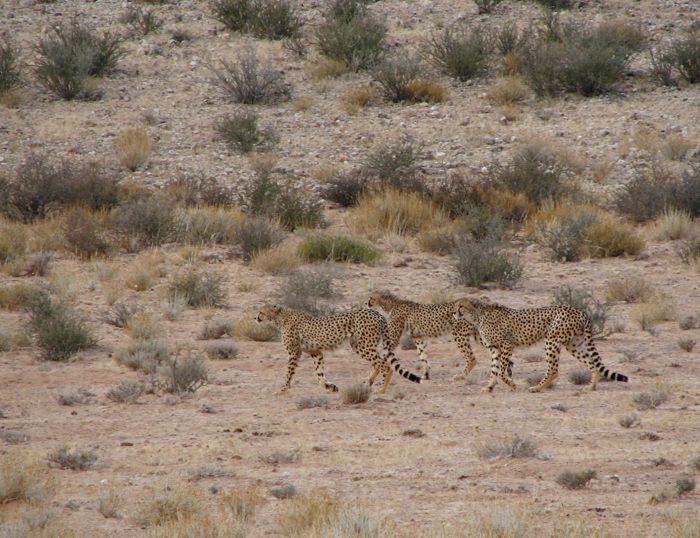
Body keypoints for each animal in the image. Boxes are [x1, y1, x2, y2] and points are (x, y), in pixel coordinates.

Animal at [256, 304, 422, 392]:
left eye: (261, 311)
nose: (256, 318)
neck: (280, 317)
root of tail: (376, 313)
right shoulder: (316, 352)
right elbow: (320, 373)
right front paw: (330, 387)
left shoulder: (294, 353)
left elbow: (289, 373)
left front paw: (282, 390)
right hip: (360, 345)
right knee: (379, 363)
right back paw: (366, 383)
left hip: (363, 344)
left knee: (384, 364)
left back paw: (381, 389)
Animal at [370, 288, 512, 382]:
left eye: (372, 298)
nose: (368, 302)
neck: (390, 304)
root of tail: (476, 303)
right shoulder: (418, 338)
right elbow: (423, 356)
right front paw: (426, 375)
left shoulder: (393, 338)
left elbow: (383, 357)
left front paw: (372, 376)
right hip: (480, 336)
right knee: (500, 353)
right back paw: (507, 372)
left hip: (459, 335)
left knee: (472, 358)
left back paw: (461, 376)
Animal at [454, 296, 628, 392]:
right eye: (456, 305)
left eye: (461, 305)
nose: (454, 313)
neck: (477, 315)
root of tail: (579, 311)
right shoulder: (495, 348)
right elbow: (494, 370)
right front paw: (490, 388)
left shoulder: (507, 345)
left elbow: (501, 371)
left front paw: (511, 385)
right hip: (573, 344)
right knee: (592, 364)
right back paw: (591, 387)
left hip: (551, 340)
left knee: (554, 370)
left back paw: (537, 387)